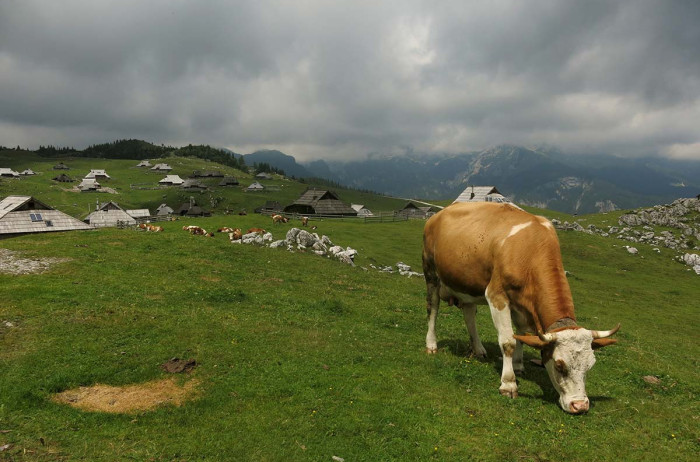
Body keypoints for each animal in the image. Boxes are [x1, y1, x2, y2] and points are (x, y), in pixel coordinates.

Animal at [422, 202, 616, 416]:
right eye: (559, 365)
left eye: (590, 366)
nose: (580, 406)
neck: (530, 250)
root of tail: (440, 213)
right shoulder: (496, 295)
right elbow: (508, 341)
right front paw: (509, 383)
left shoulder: (522, 306)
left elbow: (522, 336)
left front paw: (518, 365)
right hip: (430, 272)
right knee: (433, 308)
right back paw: (431, 344)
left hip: (467, 281)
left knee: (469, 313)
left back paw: (478, 348)